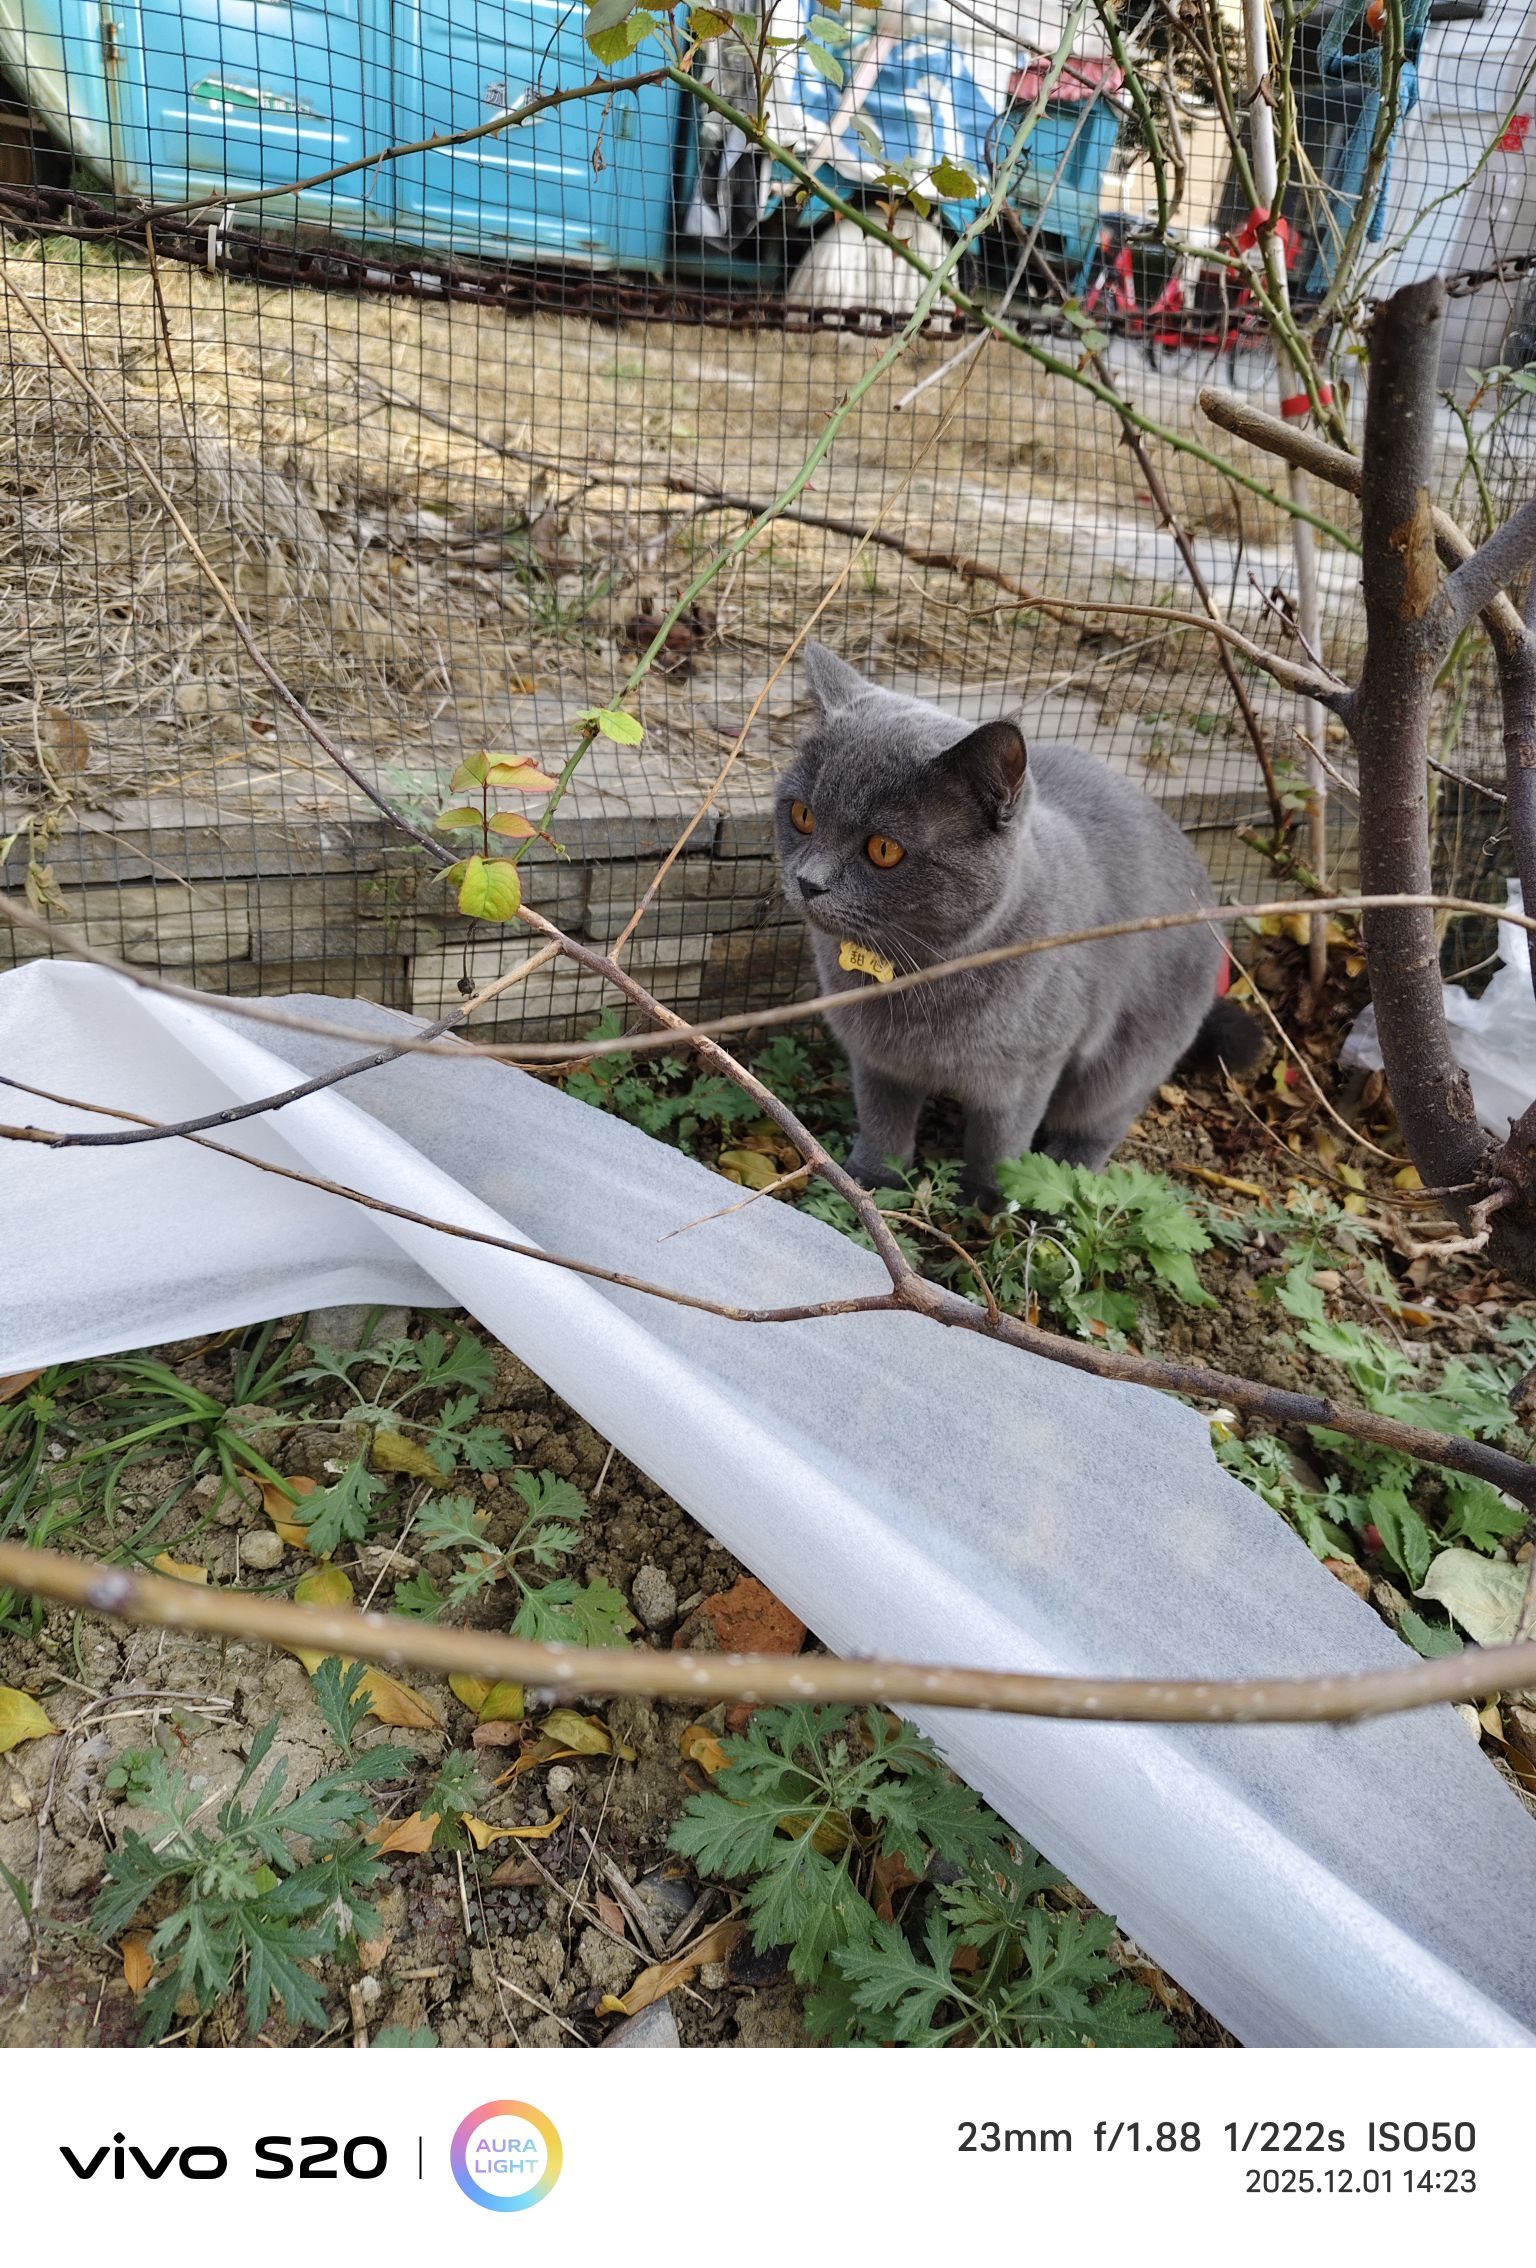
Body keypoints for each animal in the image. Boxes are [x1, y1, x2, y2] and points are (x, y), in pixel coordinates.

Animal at [775, 642, 1261, 1206]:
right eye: (802, 815)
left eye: (884, 850)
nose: (808, 881)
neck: (915, 978)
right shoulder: (876, 1061)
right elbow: (882, 1123)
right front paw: (869, 1182)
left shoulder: (1028, 1071)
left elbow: (999, 1142)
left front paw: (990, 1199)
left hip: (1128, 1056)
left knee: (1101, 1120)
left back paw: (1068, 1175)